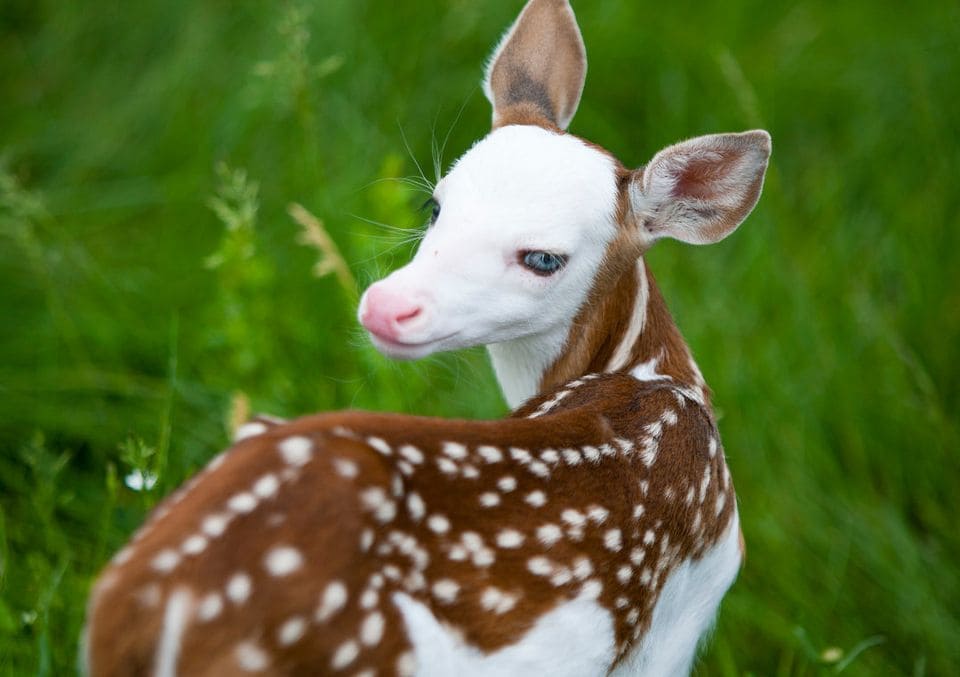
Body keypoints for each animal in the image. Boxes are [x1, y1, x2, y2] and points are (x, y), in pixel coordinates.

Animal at [84, 0, 772, 672]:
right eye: (434, 206)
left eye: (543, 258)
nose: (387, 307)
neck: (656, 379)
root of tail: (144, 610)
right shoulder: (675, 627)